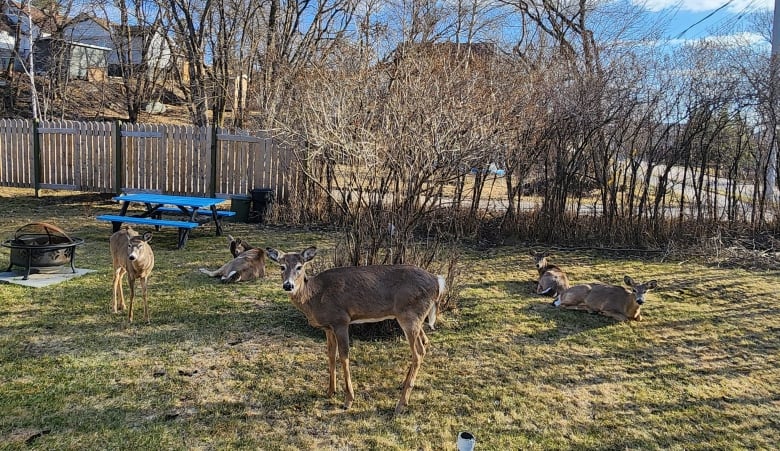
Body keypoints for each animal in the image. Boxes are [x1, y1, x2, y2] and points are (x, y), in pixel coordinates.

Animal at [266, 245, 444, 414]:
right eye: (281, 266)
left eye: (299, 266)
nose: (288, 285)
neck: (314, 297)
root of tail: (438, 281)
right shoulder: (328, 327)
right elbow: (331, 355)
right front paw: (330, 391)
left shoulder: (341, 320)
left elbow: (344, 356)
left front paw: (348, 400)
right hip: (415, 317)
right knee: (425, 342)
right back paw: (403, 385)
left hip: (409, 315)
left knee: (418, 352)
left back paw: (400, 404)